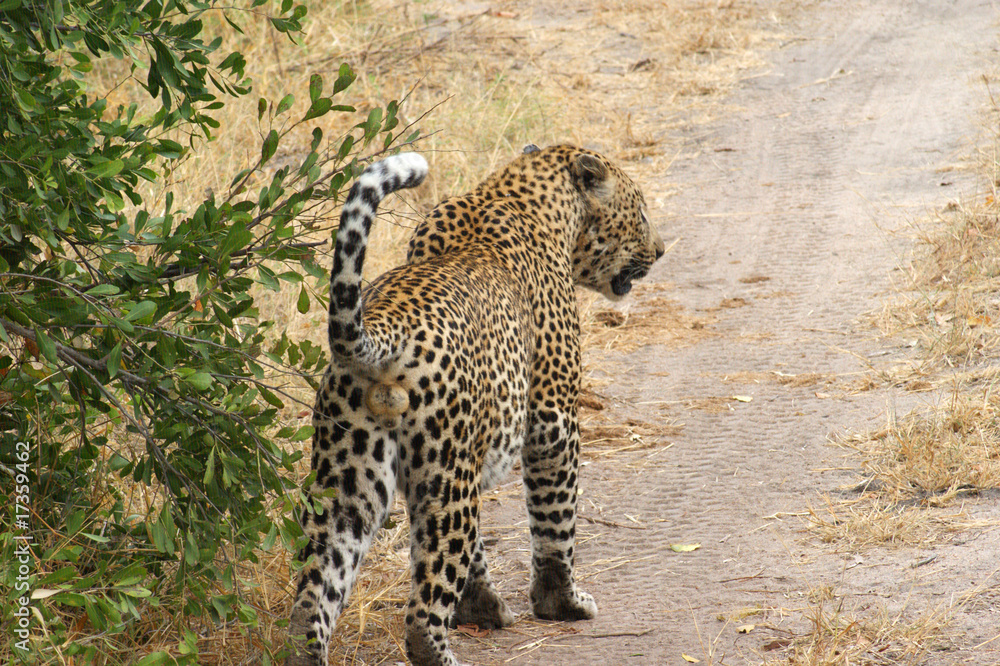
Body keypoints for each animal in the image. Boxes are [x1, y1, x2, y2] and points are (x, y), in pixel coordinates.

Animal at [286, 144, 665, 666]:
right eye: (641, 212)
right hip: (446, 476)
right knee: (422, 618)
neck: (519, 194)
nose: (661, 250)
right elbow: (556, 522)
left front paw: (483, 608)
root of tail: (379, 332)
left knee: (313, 602)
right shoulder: (552, 419)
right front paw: (561, 603)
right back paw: (443, 655)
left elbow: (481, 552)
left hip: (349, 483)